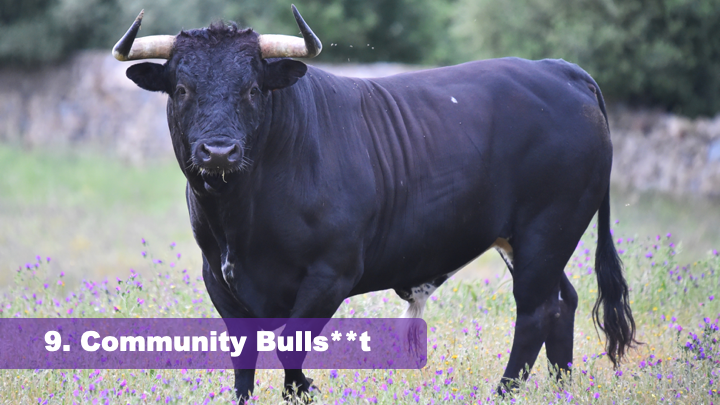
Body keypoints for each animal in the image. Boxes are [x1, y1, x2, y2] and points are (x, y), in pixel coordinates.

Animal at [111, 5, 637, 402]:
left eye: (253, 88)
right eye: (182, 89)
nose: (219, 152)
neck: (241, 218)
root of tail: (557, 69)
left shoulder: (331, 273)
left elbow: (290, 346)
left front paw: (306, 390)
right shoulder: (218, 276)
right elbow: (245, 355)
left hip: (549, 229)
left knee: (534, 311)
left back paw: (503, 392)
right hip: (527, 241)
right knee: (561, 302)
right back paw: (561, 386)